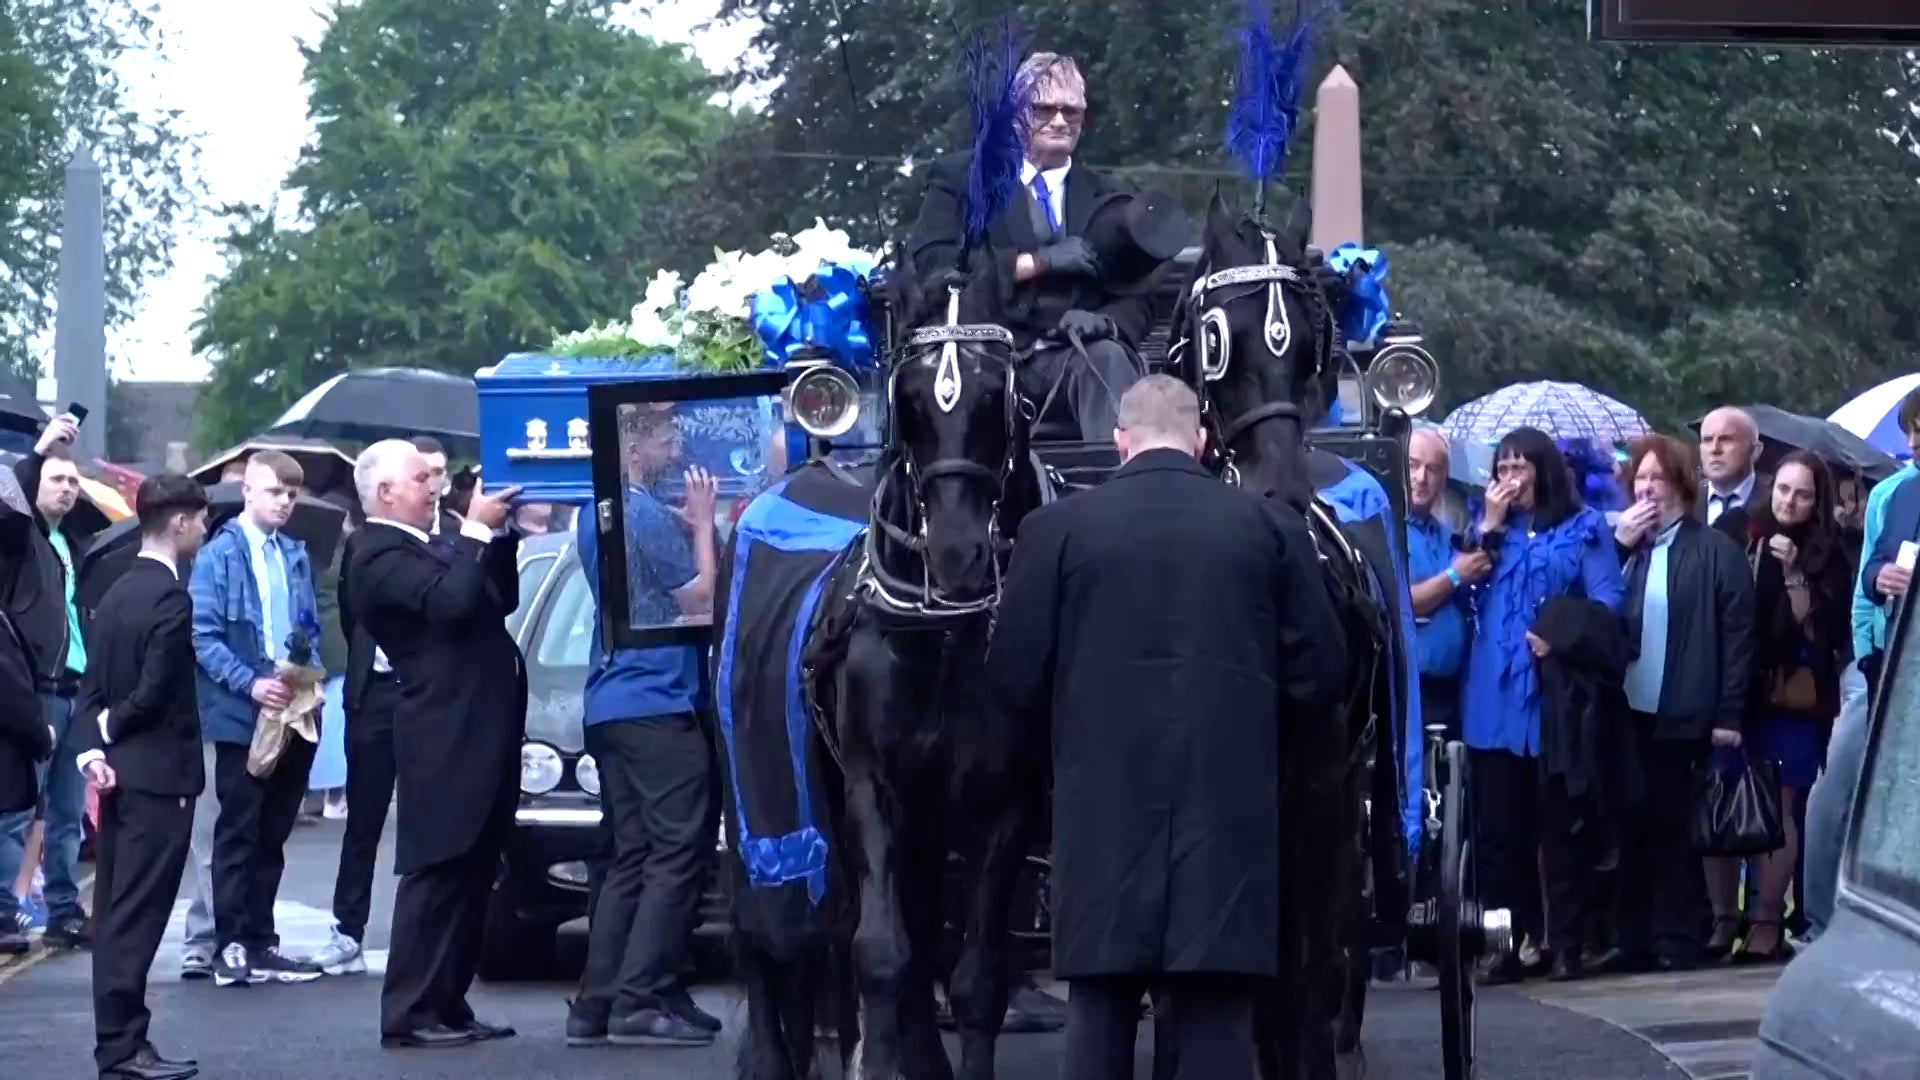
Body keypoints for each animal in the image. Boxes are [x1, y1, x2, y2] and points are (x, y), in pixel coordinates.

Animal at [721, 278, 1052, 1076]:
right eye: (910, 401)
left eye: (1001, 397)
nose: (958, 552)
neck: (946, 632)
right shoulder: (875, 785)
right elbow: (879, 953)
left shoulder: (1005, 801)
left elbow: (973, 978)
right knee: (761, 927)